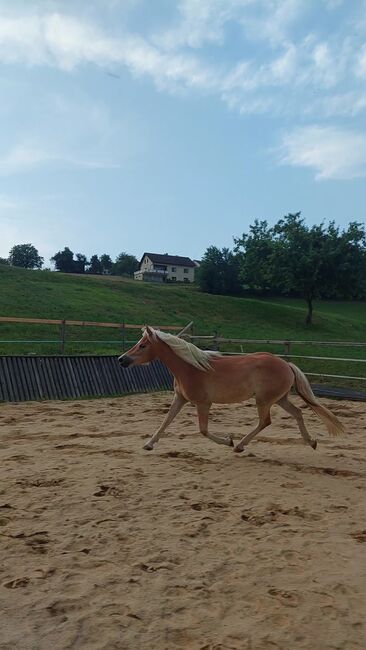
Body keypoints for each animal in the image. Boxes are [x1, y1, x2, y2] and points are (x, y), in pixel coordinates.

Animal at [118, 326, 344, 454]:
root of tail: (286, 364)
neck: (190, 368)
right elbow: (166, 421)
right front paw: (148, 444)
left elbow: (203, 430)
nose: (121, 360)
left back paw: (239, 445)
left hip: (264, 400)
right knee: (297, 413)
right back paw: (311, 442)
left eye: (142, 345)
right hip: (280, 399)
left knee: (265, 421)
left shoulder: (203, 404)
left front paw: (228, 440)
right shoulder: (180, 399)